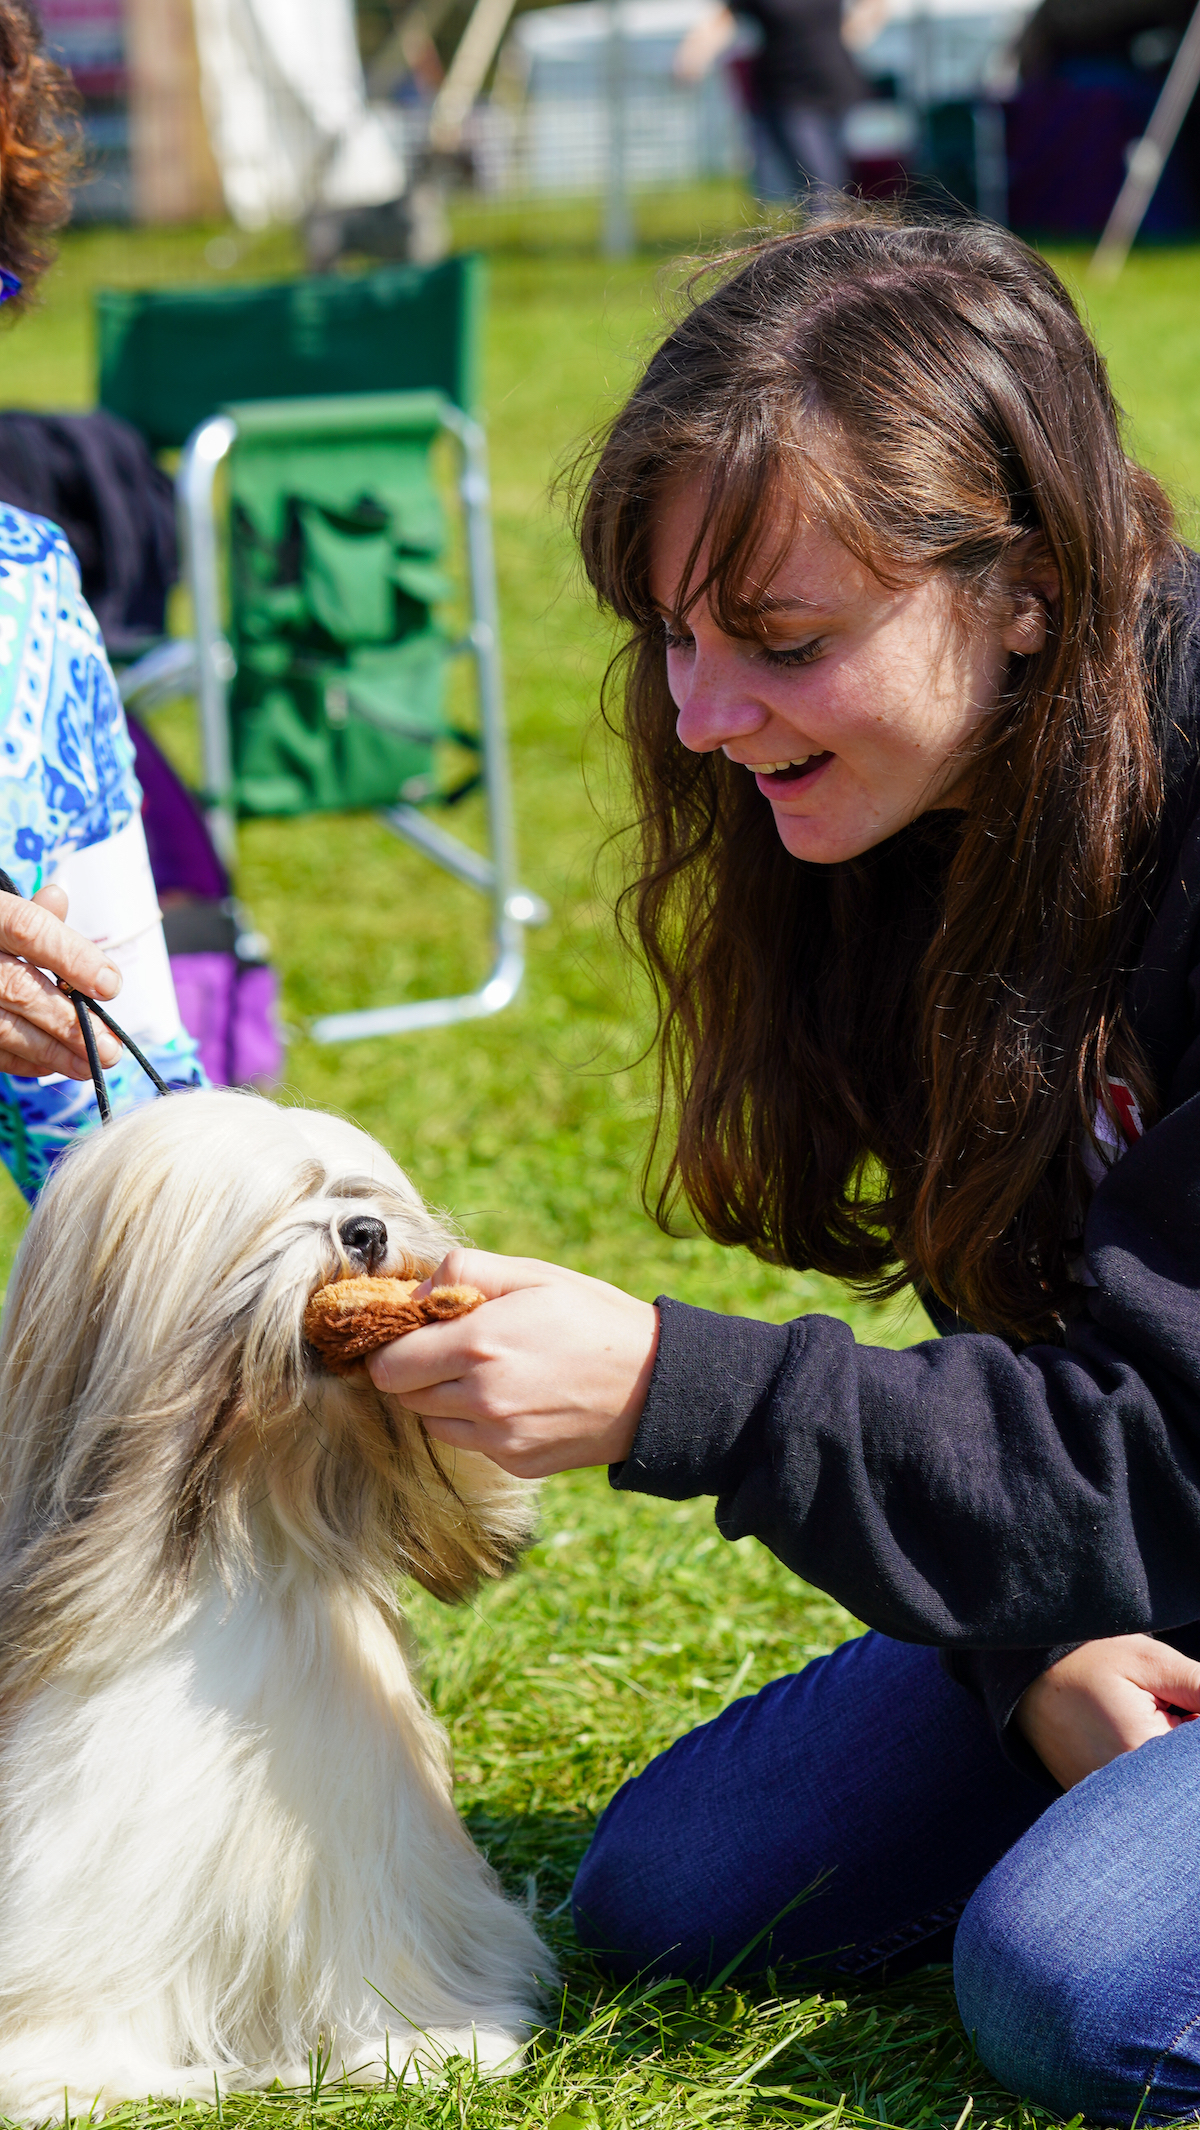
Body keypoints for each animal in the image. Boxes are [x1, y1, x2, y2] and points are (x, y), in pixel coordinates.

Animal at [0, 1090, 554, 2121]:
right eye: (274, 1209)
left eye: (360, 1192)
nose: (365, 1232)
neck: (240, 1527)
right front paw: (76, 2079)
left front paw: (417, 2046)